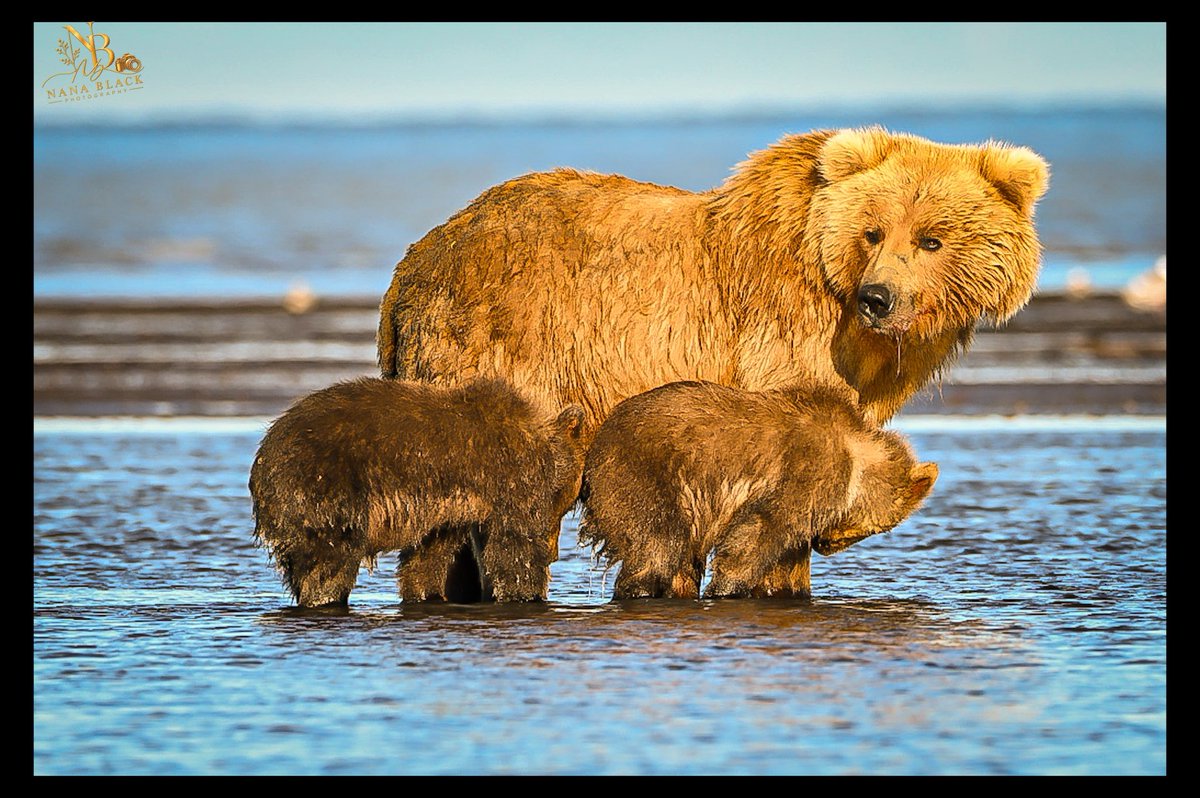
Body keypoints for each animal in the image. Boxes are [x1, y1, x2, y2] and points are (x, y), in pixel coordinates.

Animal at [248, 377, 586, 606]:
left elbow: (430, 553)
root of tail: (263, 458)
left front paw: (425, 592)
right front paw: (526, 593)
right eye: (565, 501)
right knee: (329, 559)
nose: (555, 551)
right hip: (325, 489)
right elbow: (515, 548)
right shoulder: (509, 480)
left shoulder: (446, 509)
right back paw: (325, 597)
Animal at [578, 381, 938, 600]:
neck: (857, 459)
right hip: (643, 473)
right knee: (657, 545)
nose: (824, 544)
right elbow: (760, 530)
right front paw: (726, 588)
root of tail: (596, 442)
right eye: (868, 529)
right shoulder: (804, 469)